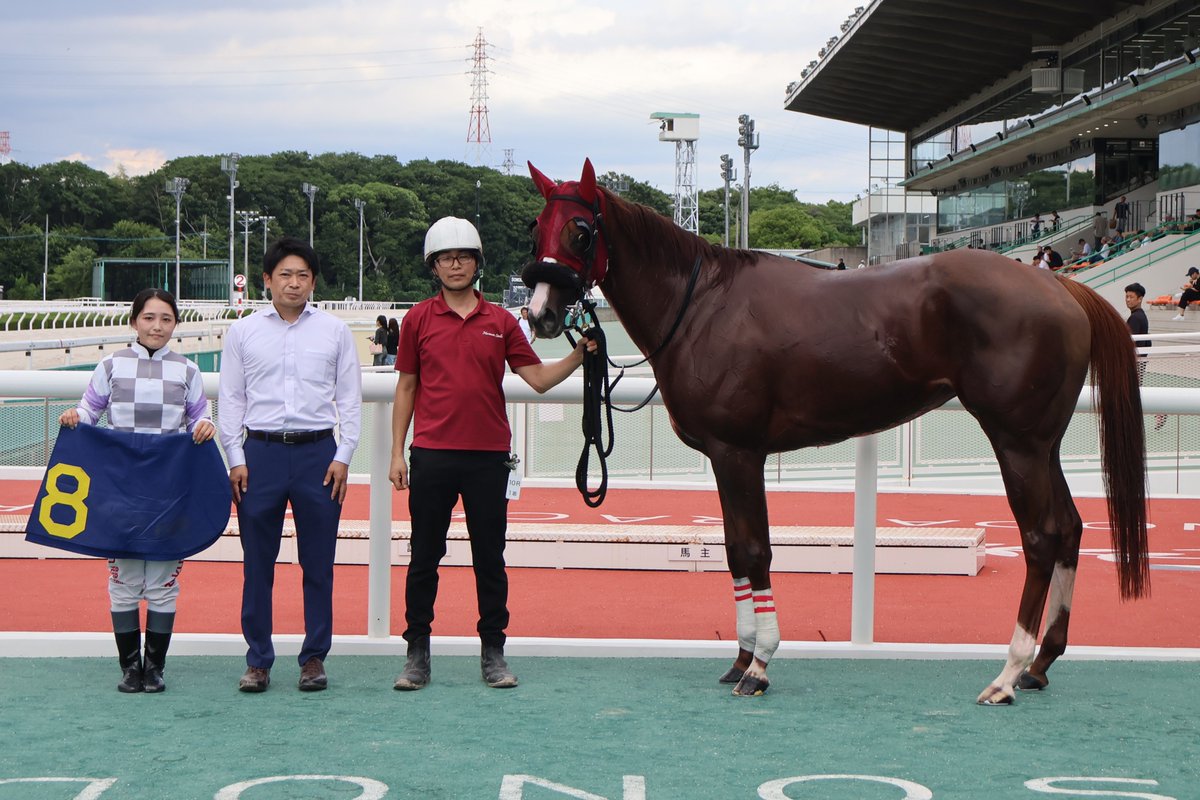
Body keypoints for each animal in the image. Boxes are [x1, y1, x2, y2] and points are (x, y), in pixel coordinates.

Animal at [521, 159, 1149, 705]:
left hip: (1016, 444)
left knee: (1041, 537)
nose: (541, 314)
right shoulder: (726, 458)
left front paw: (760, 664)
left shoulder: (738, 453)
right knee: (1070, 528)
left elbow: (755, 549)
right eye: (536, 229)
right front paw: (739, 657)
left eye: (581, 231)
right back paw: (1041, 663)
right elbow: (733, 551)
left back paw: (1008, 673)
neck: (702, 305)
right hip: (1043, 445)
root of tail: (1063, 288)